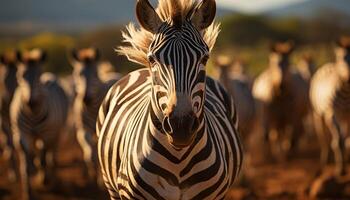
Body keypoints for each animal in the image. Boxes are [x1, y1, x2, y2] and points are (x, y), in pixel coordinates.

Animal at [10, 48, 69, 200]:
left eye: (38, 76)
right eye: (20, 76)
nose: (30, 102)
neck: (33, 114)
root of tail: (50, 75)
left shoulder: (47, 134)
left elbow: (43, 158)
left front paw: (44, 180)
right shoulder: (22, 134)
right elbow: (26, 165)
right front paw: (28, 192)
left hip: (55, 132)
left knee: (51, 154)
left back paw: (52, 178)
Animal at [69, 47, 119, 182]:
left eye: (95, 74)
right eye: (78, 74)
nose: (86, 99)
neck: (91, 109)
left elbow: (99, 155)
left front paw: (99, 180)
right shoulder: (83, 130)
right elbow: (90, 155)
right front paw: (92, 176)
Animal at [310, 36, 348, 176]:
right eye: (340, 57)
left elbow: (344, 140)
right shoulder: (332, 114)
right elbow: (338, 142)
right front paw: (340, 170)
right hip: (318, 114)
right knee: (324, 139)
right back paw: (324, 163)